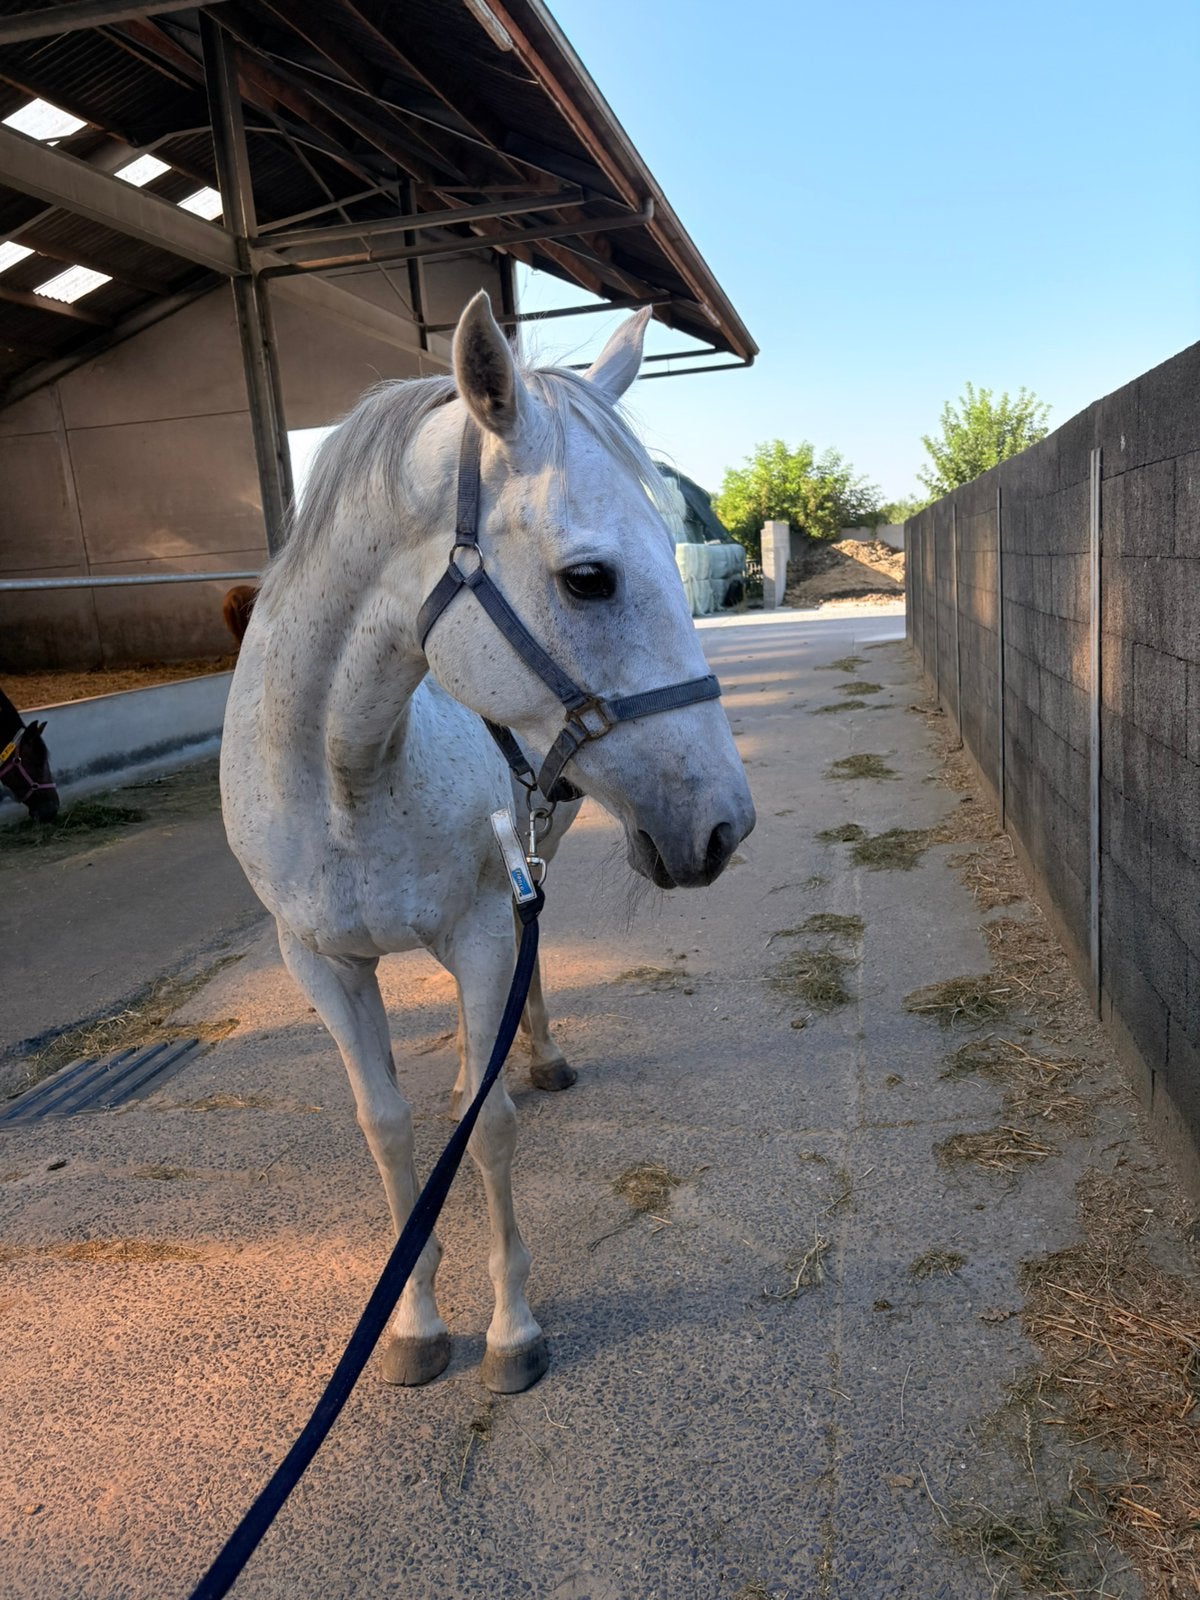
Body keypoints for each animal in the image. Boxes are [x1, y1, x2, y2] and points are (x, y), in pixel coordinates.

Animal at [220, 293, 755, 1394]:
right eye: (587, 578)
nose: (723, 823)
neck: (343, 778)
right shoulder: (320, 963)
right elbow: (387, 1130)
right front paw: (414, 1320)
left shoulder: (474, 930)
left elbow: (492, 1129)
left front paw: (511, 1329)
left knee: (529, 972)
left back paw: (534, 1056)